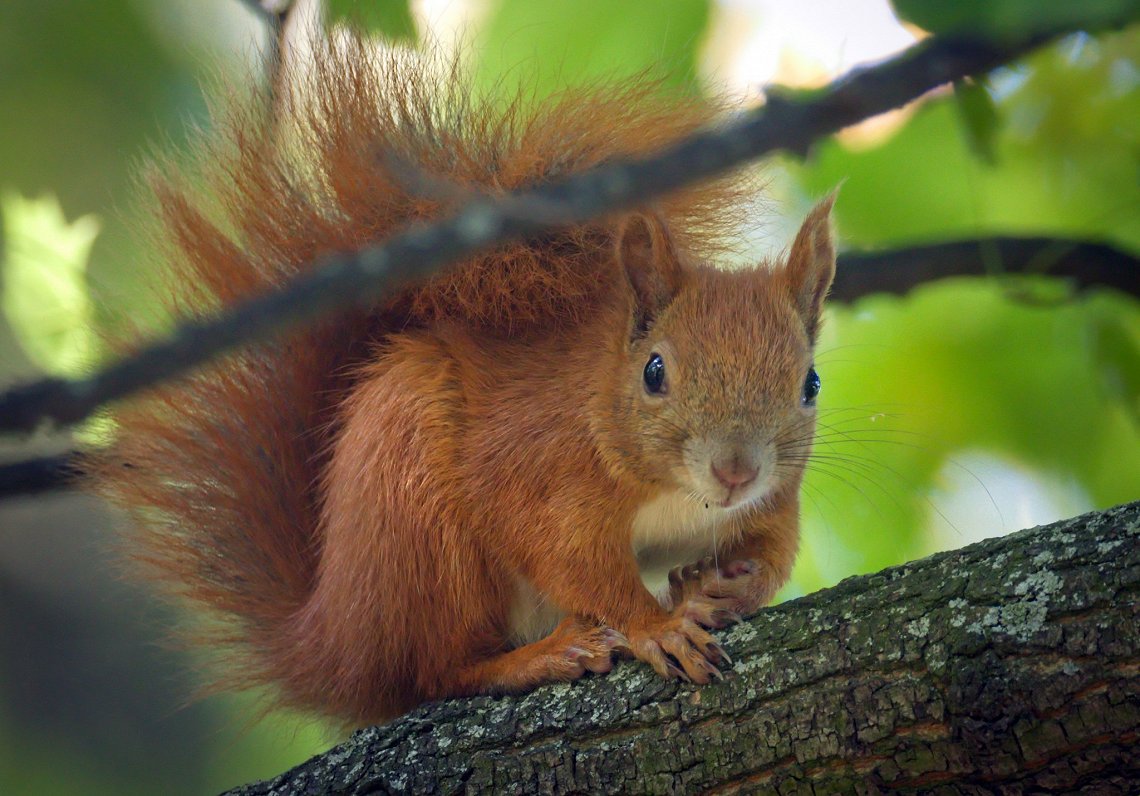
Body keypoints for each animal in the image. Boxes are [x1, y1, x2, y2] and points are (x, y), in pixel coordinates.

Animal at [88, 41, 839, 725]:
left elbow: (774, 550)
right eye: (655, 372)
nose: (736, 470)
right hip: (418, 521)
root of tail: (331, 637)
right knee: (438, 669)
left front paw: (727, 587)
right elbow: (573, 560)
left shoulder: (773, 502)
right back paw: (538, 657)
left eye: (810, 383)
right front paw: (657, 624)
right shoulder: (545, 478)